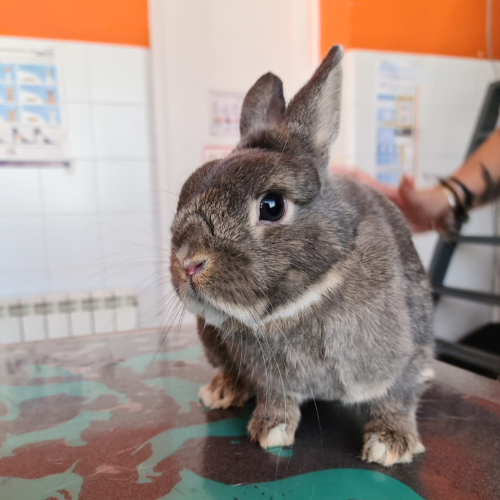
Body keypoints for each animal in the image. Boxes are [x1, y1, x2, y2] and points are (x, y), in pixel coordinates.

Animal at [169, 45, 434, 466]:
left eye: (272, 205)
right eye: (186, 190)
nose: (189, 263)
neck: (302, 303)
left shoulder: (406, 355)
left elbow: (398, 397)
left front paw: (390, 444)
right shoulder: (270, 379)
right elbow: (276, 398)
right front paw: (270, 430)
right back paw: (223, 391)